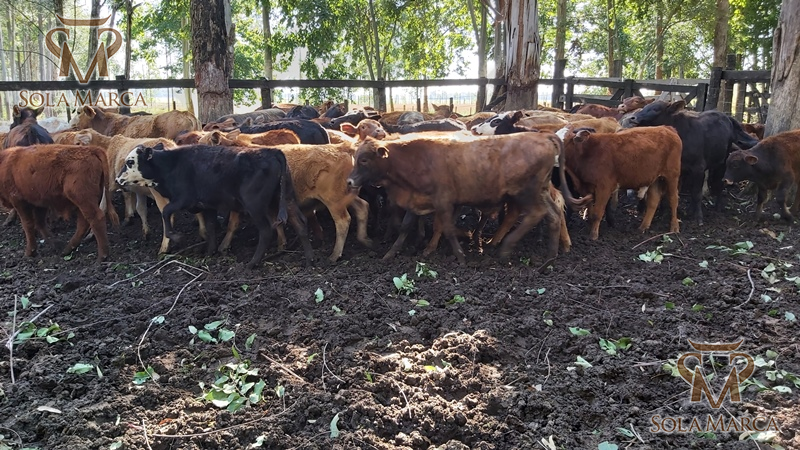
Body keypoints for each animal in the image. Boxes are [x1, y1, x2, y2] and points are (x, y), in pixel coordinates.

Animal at [116, 144, 314, 269]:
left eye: (130, 162)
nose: (117, 179)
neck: (172, 165)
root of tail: (272, 151)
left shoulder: (184, 199)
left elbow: (166, 212)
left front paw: (176, 236)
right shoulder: (208, 206)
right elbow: (211, 227)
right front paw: (210, 251)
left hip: (255, 206)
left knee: (266, 231)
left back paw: (252, 263)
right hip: (286, 199)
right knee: (301, 225)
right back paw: (309, 261)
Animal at [346, 133, 590, 265]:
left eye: (364, 159)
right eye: (355, 157)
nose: (349, 181)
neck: (417, 159)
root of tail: (542, 135)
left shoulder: (444, 201)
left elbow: (447, 228)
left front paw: (461, 256)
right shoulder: (417, 200)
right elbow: (405, 227)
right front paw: (390, 254)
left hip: (527, 193)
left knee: (536, 214)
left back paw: (505, 248)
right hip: (539, 191)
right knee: (553, 215)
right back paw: (550, 256)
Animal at [628, 100, 760, 223]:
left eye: (656, 109)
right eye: (645, 107)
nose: (632, 118)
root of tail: (727, 117)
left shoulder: (698, 168)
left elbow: (696, 193)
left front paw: (699, 218)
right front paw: (664, 213)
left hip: (722, 163)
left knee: (719, 184)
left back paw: (717, 207)